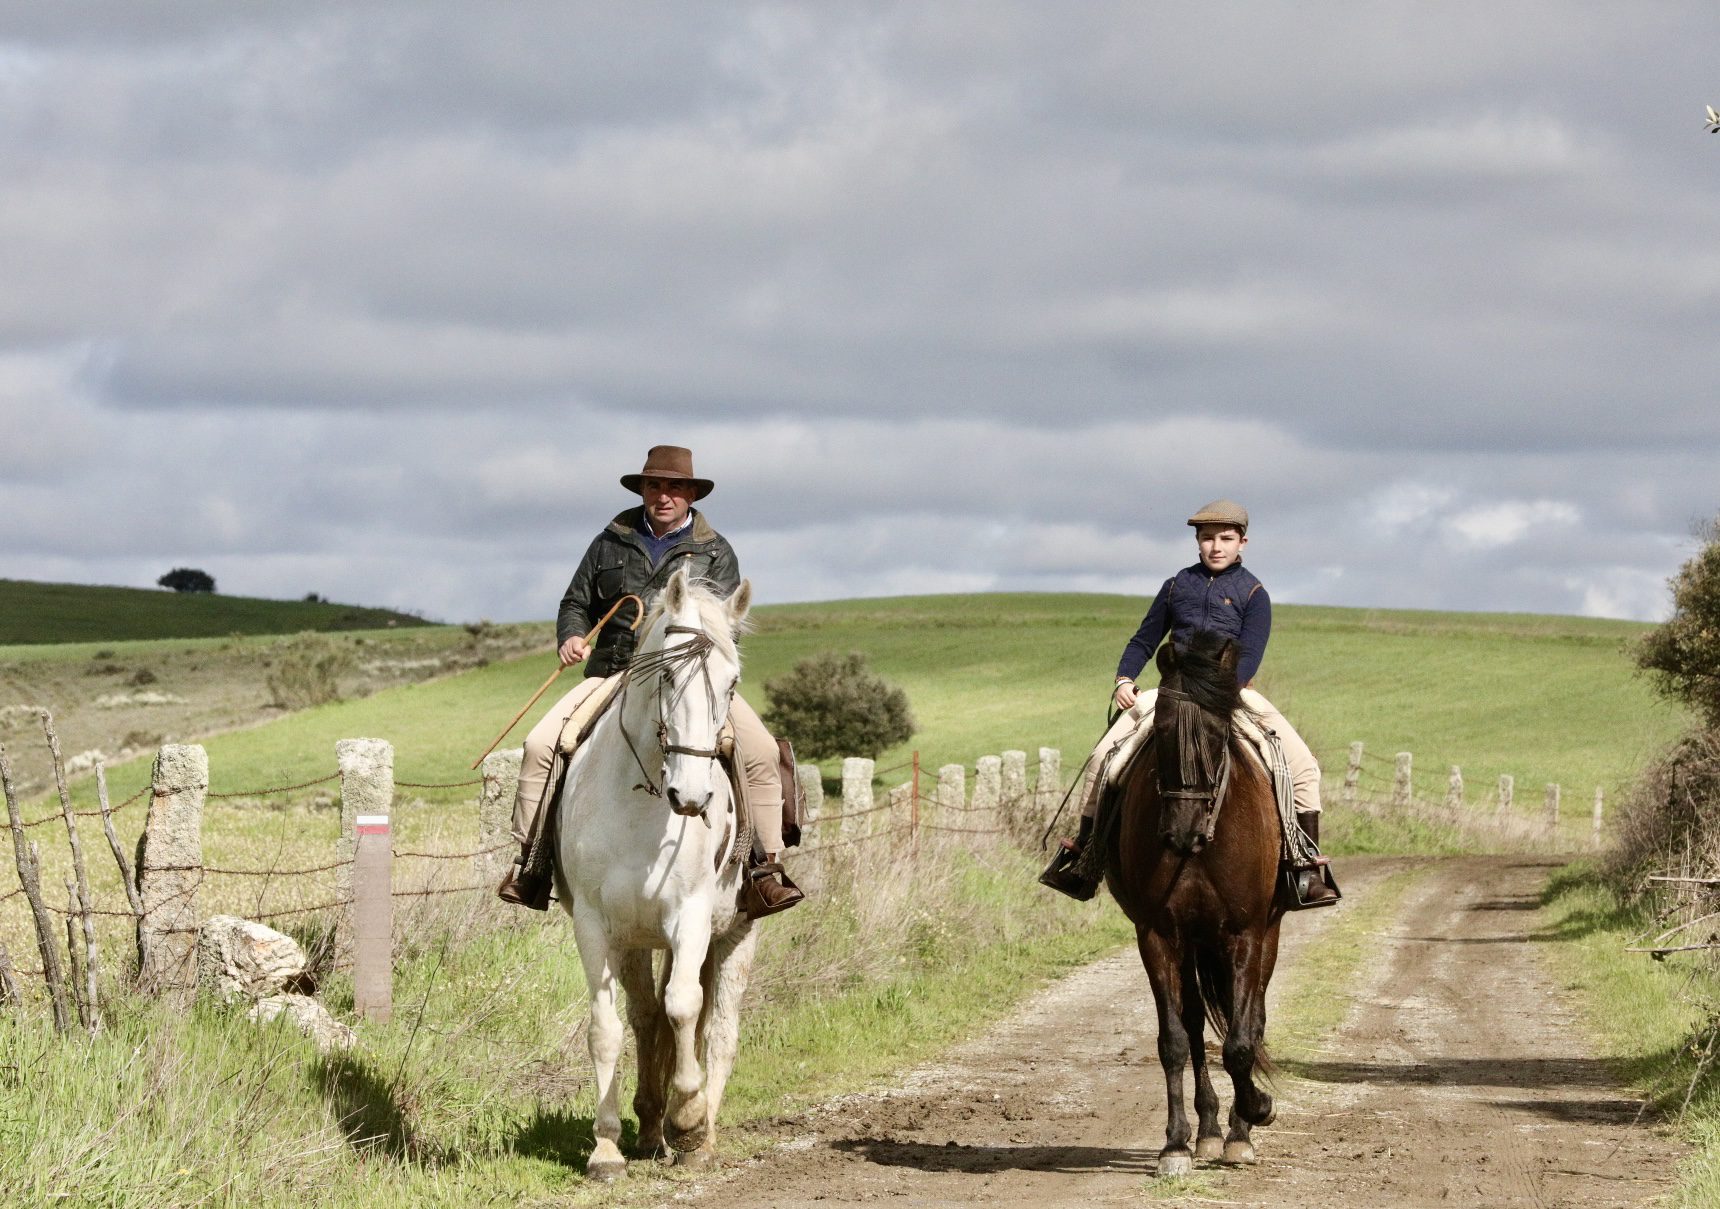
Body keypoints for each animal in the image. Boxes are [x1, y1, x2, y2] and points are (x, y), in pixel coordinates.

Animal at [553, 565, 758, 1180]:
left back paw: (699, 1133)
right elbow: (607, 1028)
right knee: (646, 1018)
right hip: (634, 942)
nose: (692, 797)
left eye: (733, 683)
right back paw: (647, 1128)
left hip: (738, 931)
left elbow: (684, 1007)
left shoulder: (690, 917)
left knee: (718, 1030)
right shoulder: (593, 926)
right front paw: (605, 1147)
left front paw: (687, 1119)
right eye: (667, 674)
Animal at [1104, 630, 1284, 1176]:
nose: (1181, 833)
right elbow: (1175, 1041)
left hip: (1264, 935)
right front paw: (1176, 1145)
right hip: (1193, 945)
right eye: (1160, 730)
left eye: (1217, 732)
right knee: (1196, 1025)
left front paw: (1256, 1113)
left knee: (1252, 1020)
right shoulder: (1158, 935)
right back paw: (1206, 1131)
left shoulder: (1245, 933)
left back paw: (1237, 1130)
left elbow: (1242, 1042)